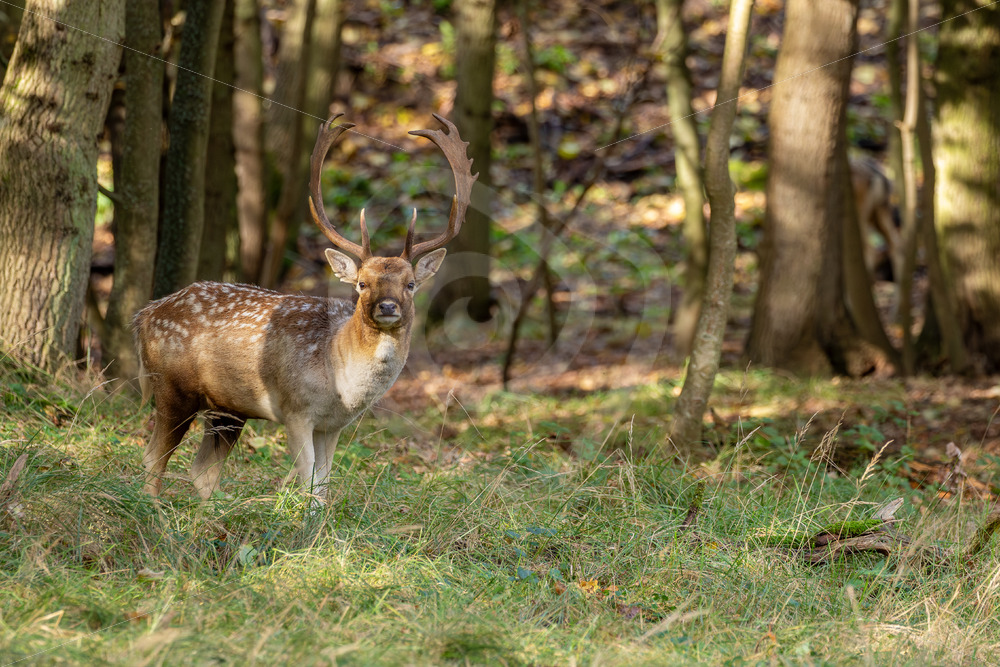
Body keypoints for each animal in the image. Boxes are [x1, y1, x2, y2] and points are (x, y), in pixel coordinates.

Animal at [133, 113, 476, 501]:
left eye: (411, 284)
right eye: (362, 283)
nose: (388, 307)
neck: (340, 381)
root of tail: (145, 315)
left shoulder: (333, 425)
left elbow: (324, 485)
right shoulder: (296, 410)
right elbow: (308, 483)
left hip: (227, 408)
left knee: (203, 471)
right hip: (172, 387)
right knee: (153, 457)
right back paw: (153, 508)